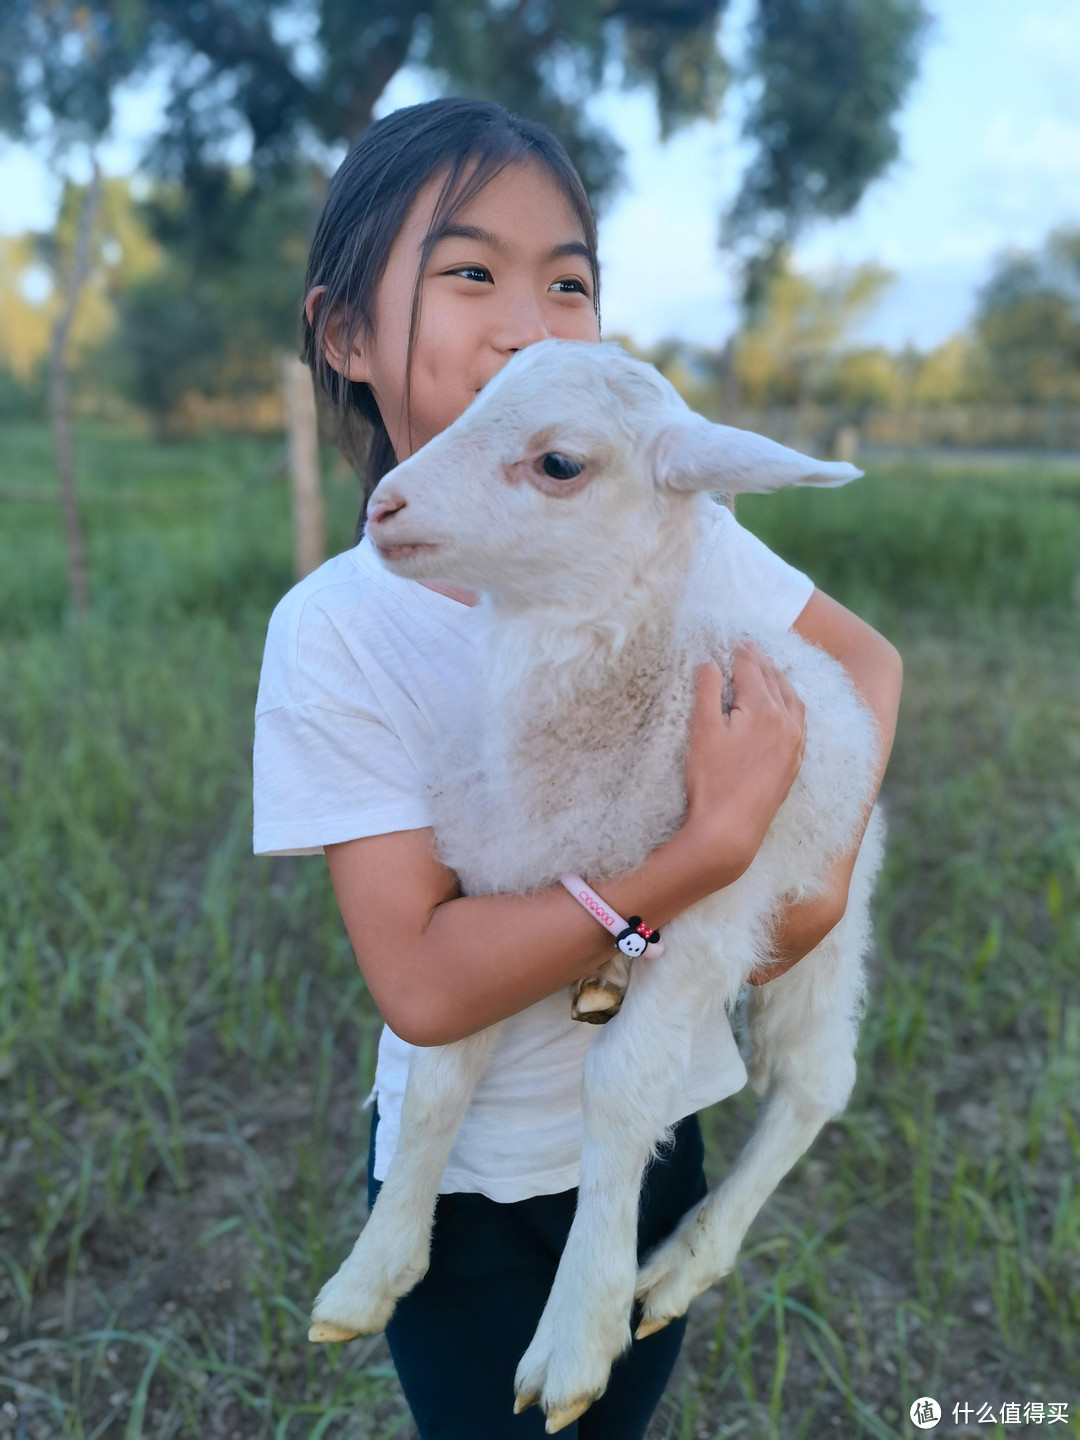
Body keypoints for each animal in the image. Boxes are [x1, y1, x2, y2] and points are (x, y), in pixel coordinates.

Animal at [311, 334, 887, 1428]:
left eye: (560, 464)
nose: (385, 509)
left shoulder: (705, 922)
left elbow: (619, 1095)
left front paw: (579, 1330)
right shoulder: (490, 899)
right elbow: (439, 1076)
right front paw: (374, 1270)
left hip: (826, 910)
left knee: (816, 1080)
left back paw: (680, 1263)